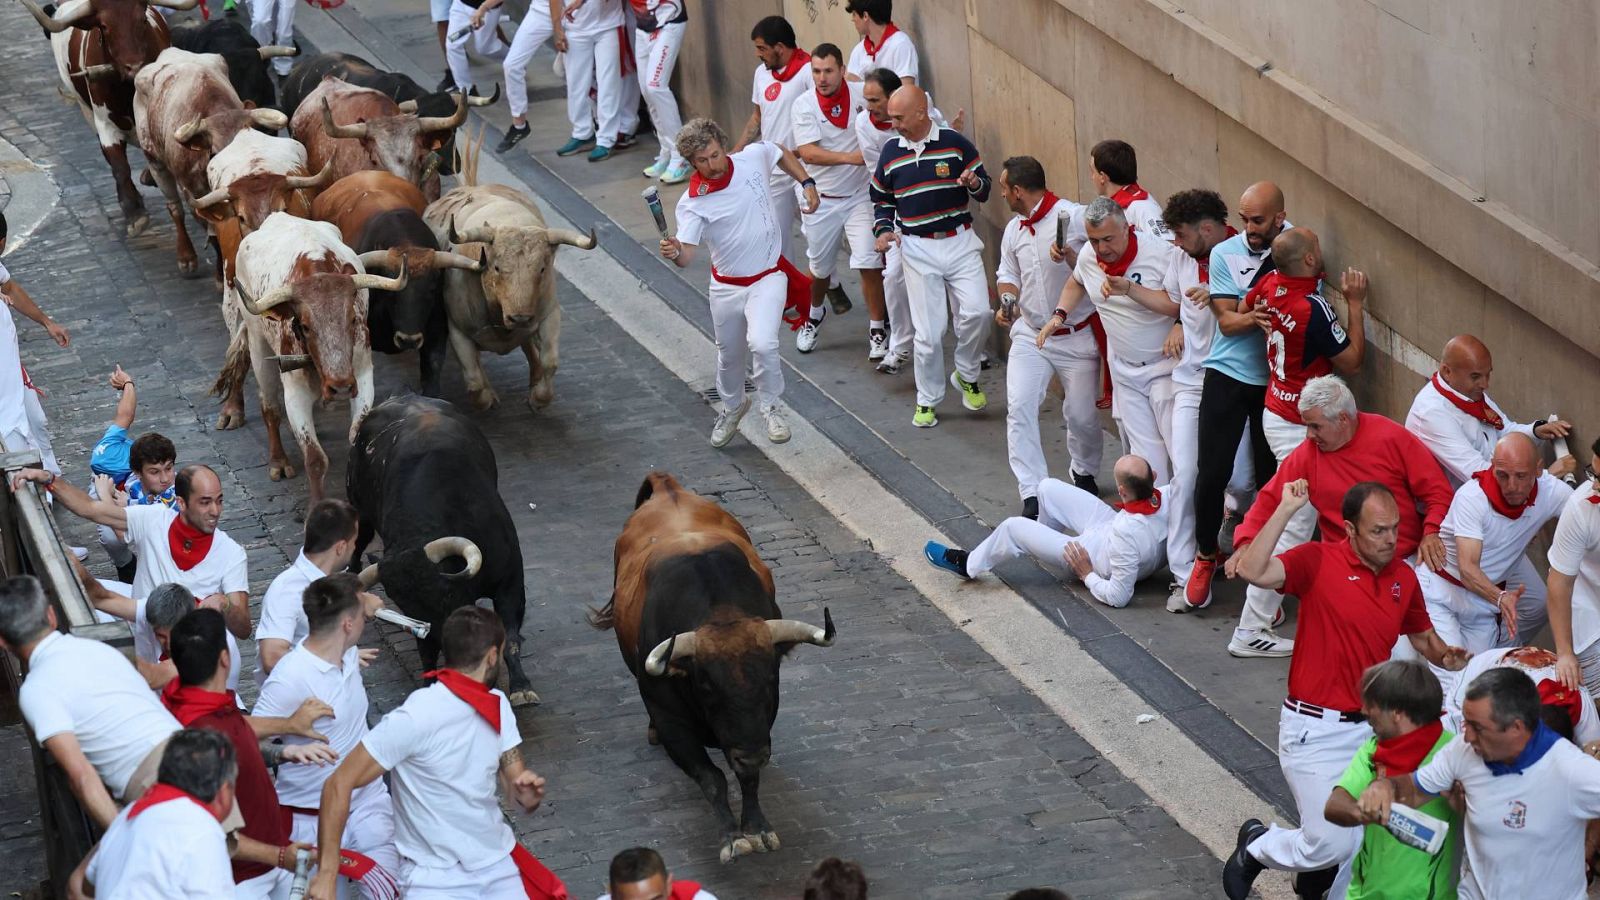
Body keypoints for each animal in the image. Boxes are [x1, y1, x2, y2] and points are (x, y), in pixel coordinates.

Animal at [345, 392, 537, 701]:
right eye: (402, 602)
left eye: (444, 592)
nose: (439, 639)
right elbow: (425, 653)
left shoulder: (510, 584)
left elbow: (511, 639)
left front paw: (521, 686)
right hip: (360, 510)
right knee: (357, 543)